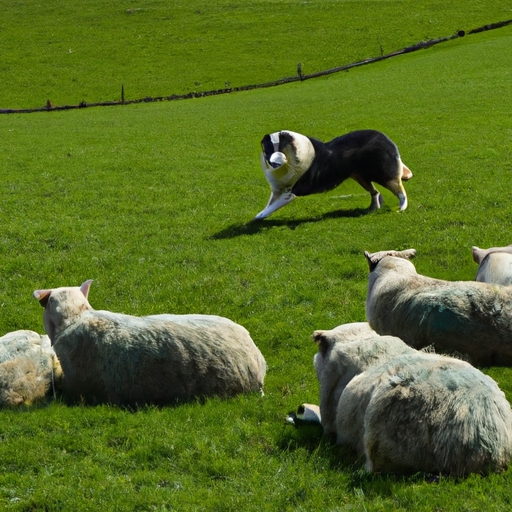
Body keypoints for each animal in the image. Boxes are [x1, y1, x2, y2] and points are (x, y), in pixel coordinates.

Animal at [254, 129, 414, 219]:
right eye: (266, 149)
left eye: (277, 148)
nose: (273, 163)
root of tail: (385, 138)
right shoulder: (277, 190)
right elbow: (269, 204)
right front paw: (259, 216)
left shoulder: (289, 193)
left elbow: (271, 206)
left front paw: (259, 217)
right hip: (360, 176)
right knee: (375, 192)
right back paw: (372, 209)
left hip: (383, 174)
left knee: (400, 190)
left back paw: (401, 208)